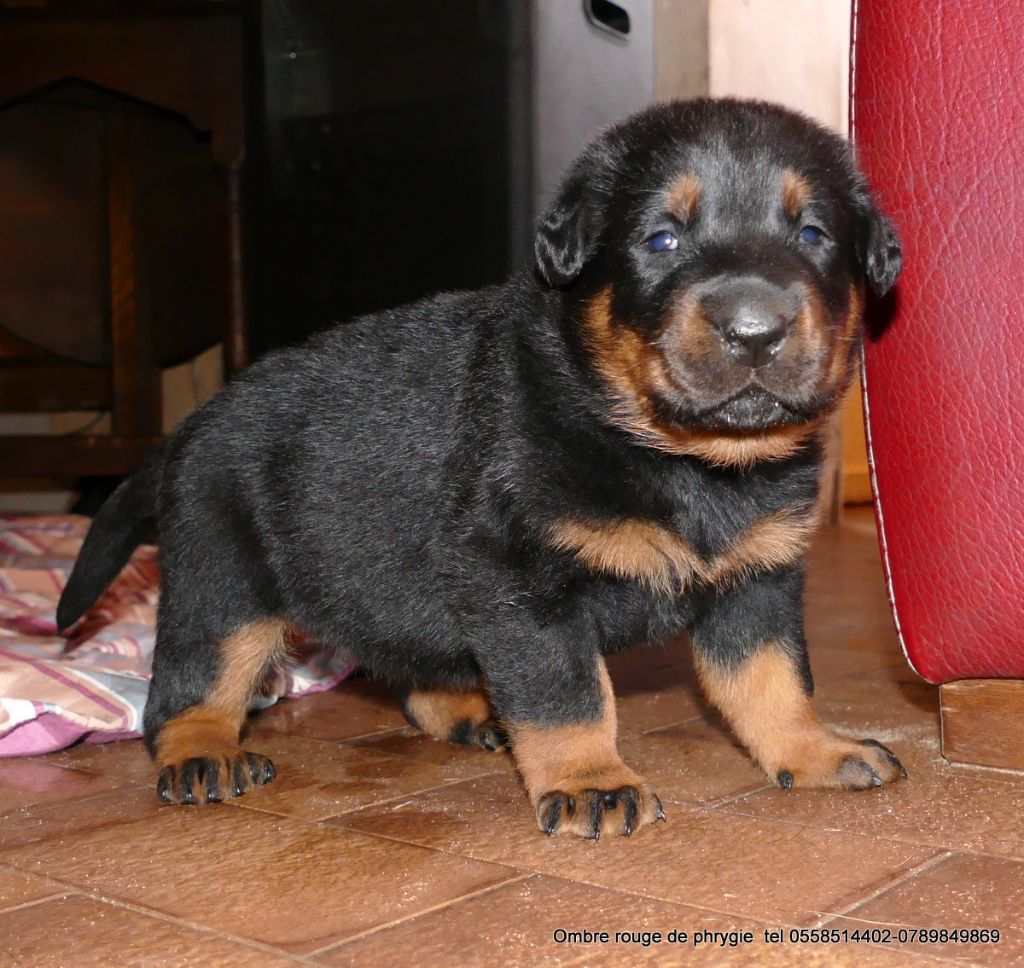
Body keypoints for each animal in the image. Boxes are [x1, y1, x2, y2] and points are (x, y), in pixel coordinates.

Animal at [58, 99, 905, 839]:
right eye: (661, 240)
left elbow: (772, 678)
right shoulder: (519, 582)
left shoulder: (756, 580)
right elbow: (569, 695)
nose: (755, 331)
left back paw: (467, 711)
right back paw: (202, 753)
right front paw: (591, 782)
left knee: (407, 663)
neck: (676, 455)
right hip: (220, 576)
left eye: (813, 232)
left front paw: (815, 749)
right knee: (188, 682)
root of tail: (188, 427)